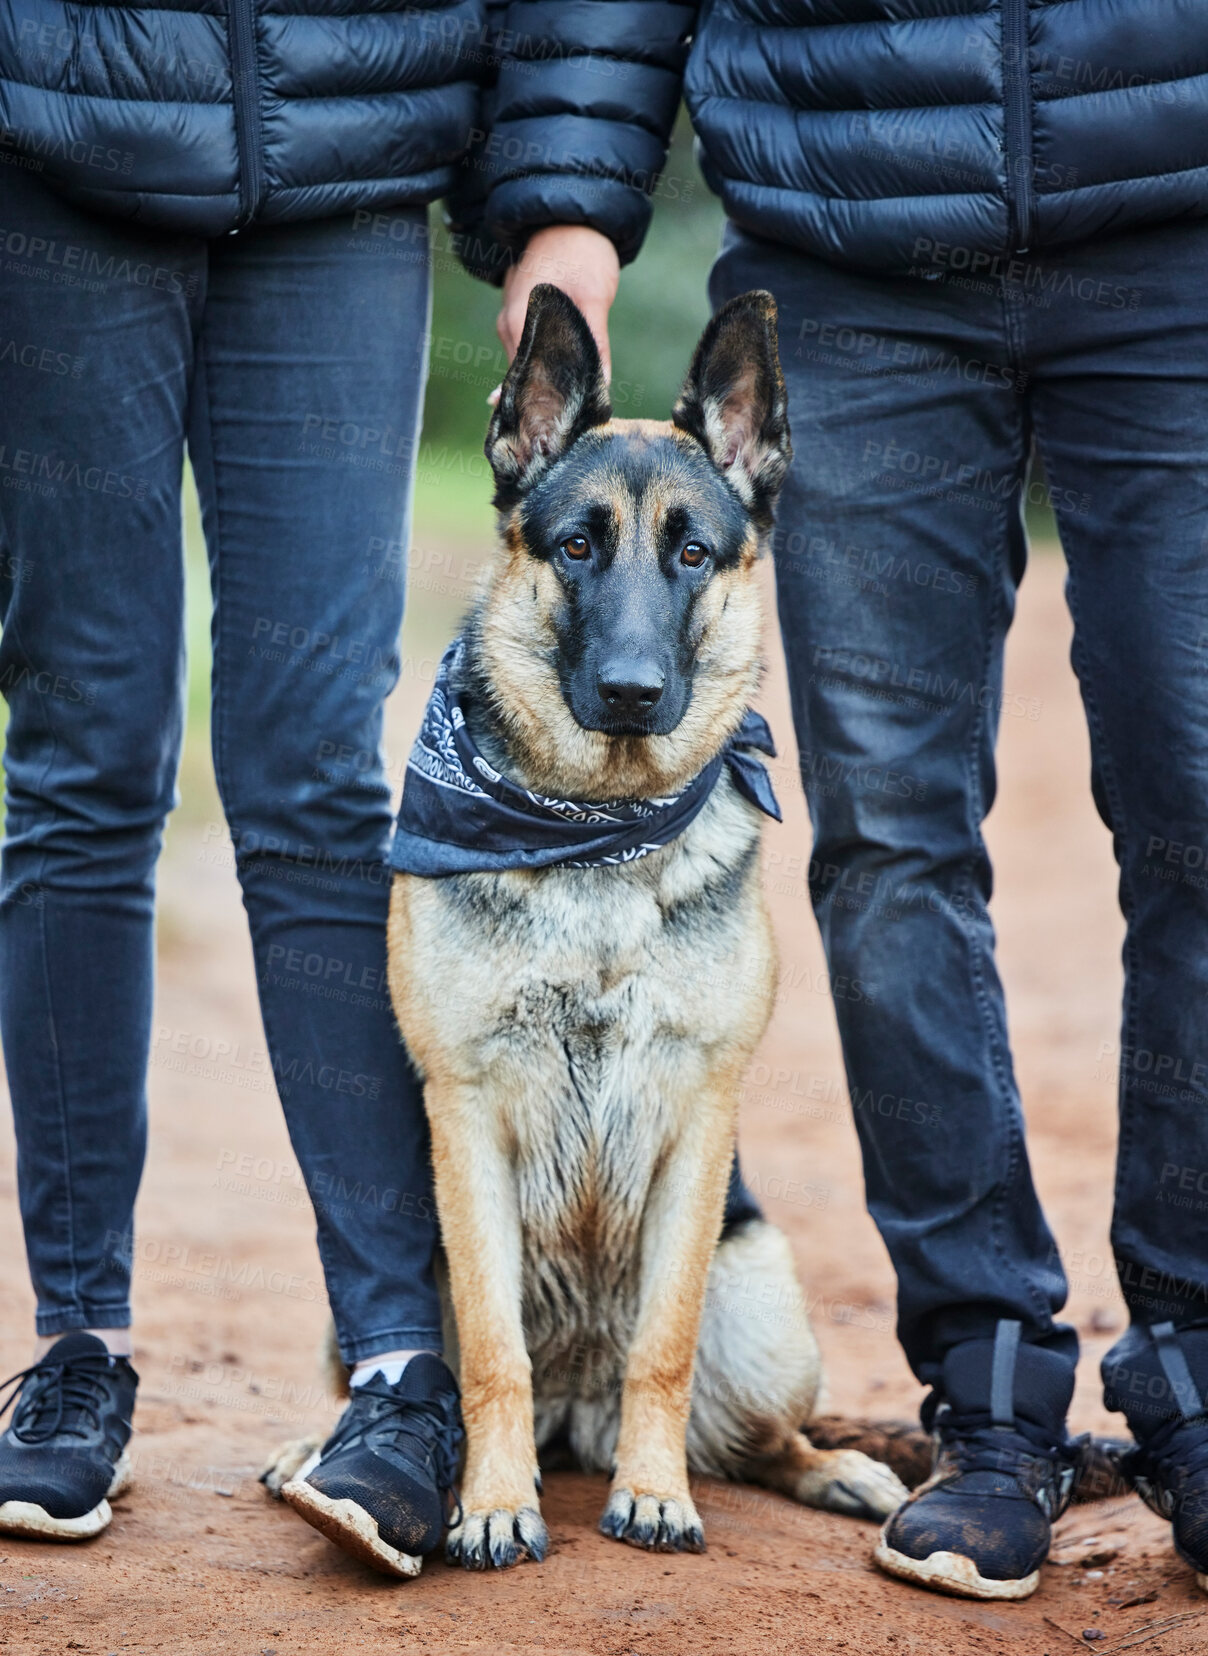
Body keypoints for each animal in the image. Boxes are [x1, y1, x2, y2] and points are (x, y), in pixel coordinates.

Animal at [263, 291, 901, 1569]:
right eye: (574, 547)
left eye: (691, 554)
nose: (631, 693)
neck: (592, 836)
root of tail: (576, 1413)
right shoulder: (466, 1118)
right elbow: (489, 1351)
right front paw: (492, 1503)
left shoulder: (698, 1118)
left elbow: (661, 1343)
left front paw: (653, 1496)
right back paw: (335, 1454)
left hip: (764, 1303)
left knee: (757, 1437)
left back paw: (832, 1470)